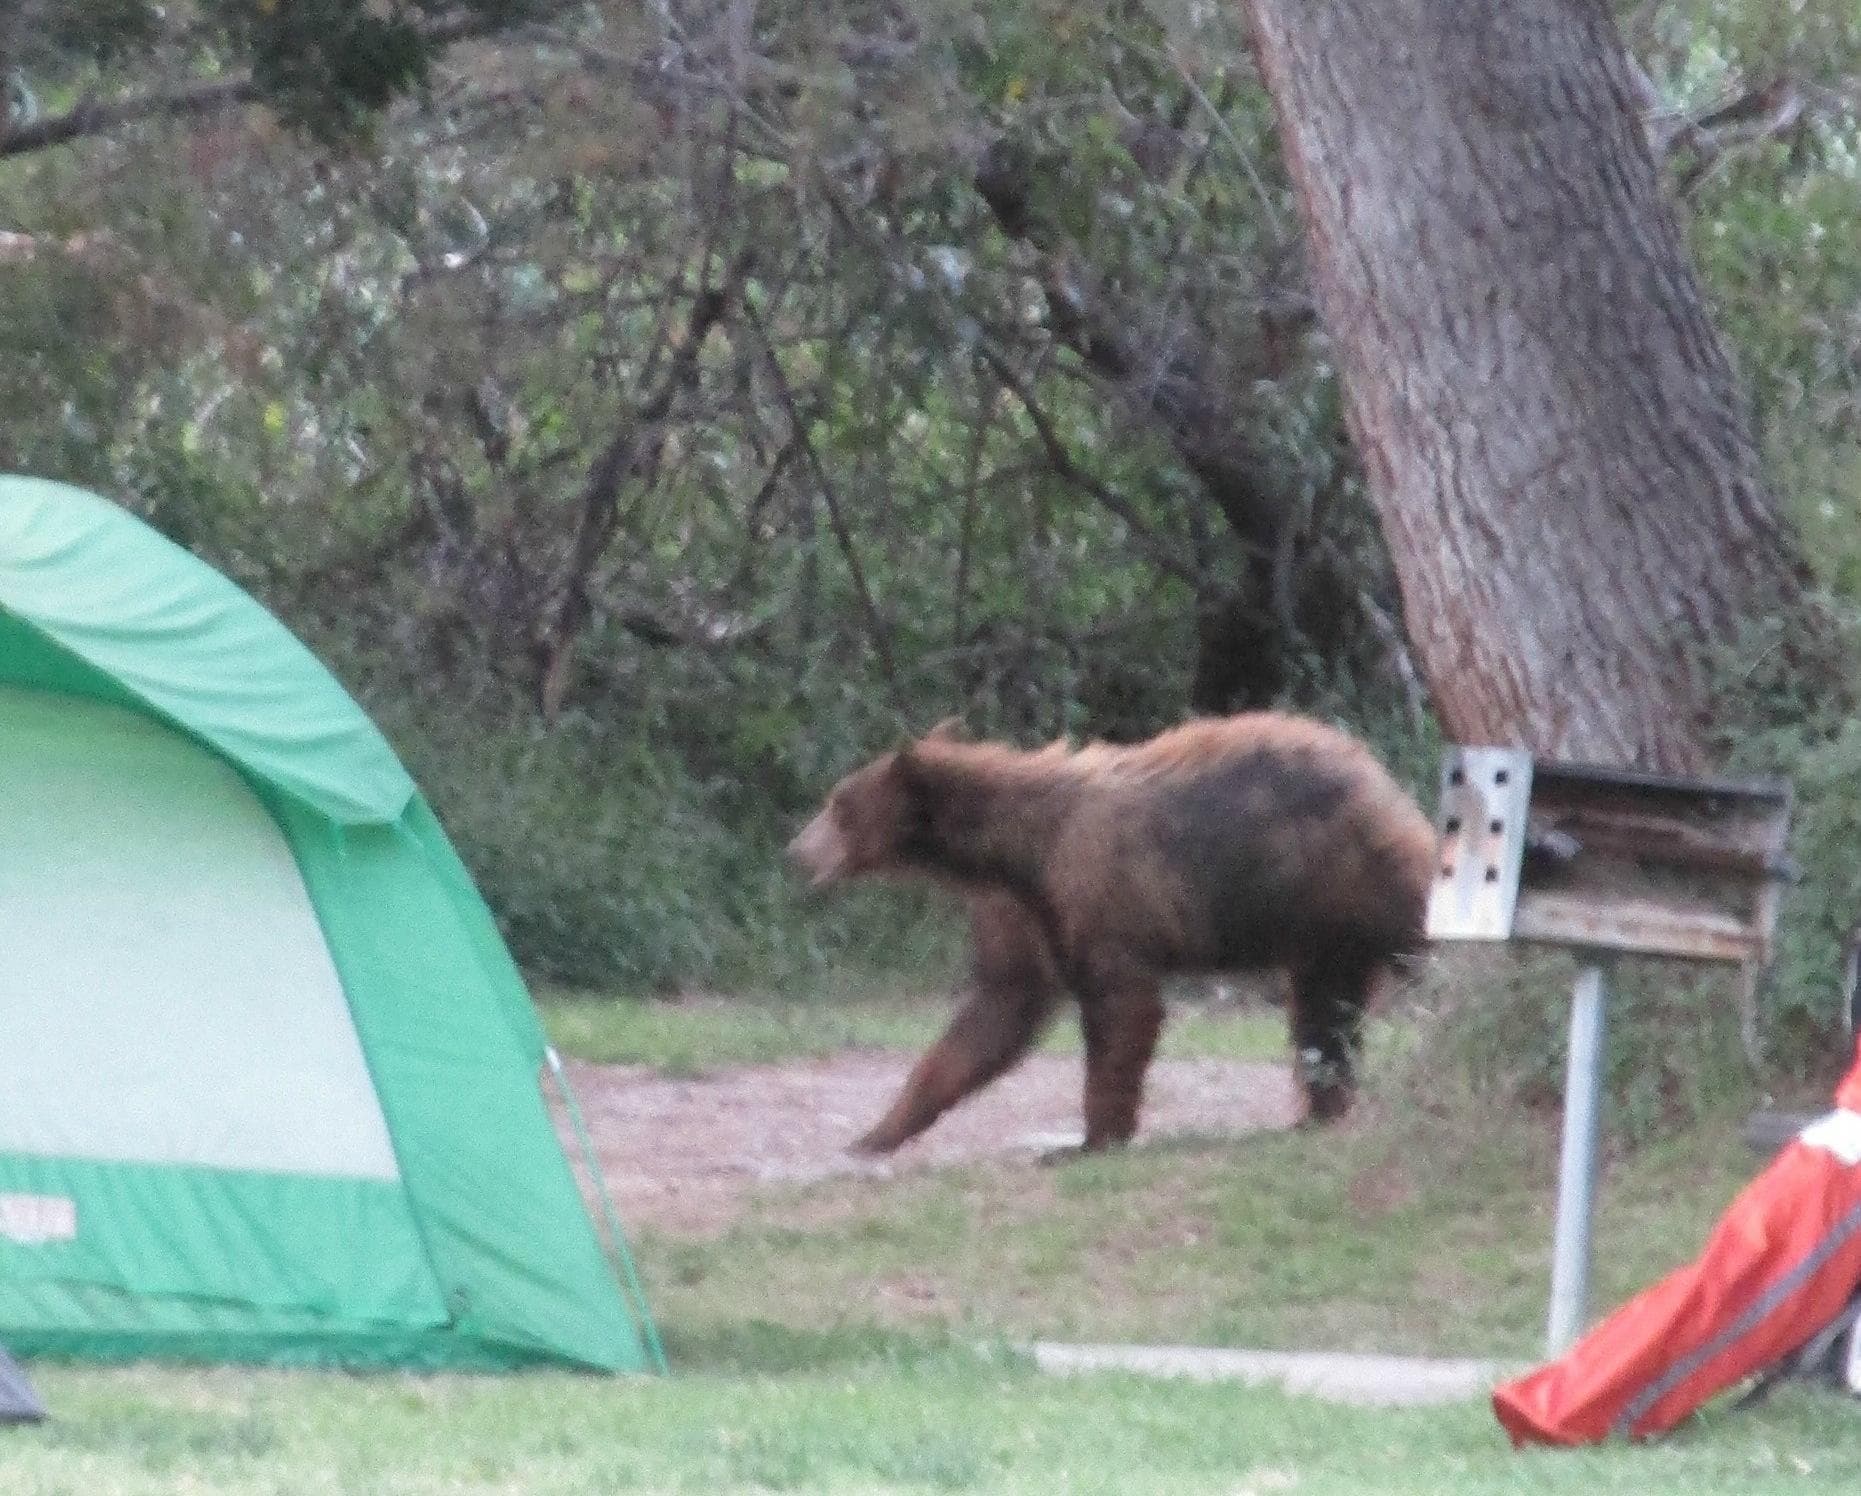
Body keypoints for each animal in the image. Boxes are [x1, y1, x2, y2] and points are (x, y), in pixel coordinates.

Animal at [786, 713, 1438, 1154]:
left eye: (838, 806)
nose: (795, 849)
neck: (1013, 850)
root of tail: (1379, 777)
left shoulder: (1094, 886)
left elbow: (1121, 1006)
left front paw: (1090, 1140)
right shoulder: (1020, 911)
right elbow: (994, 1012)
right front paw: (877, 1131)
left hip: (1349, 873)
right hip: (1319, 926)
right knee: (1323, 1012)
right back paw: (1317, 1112)